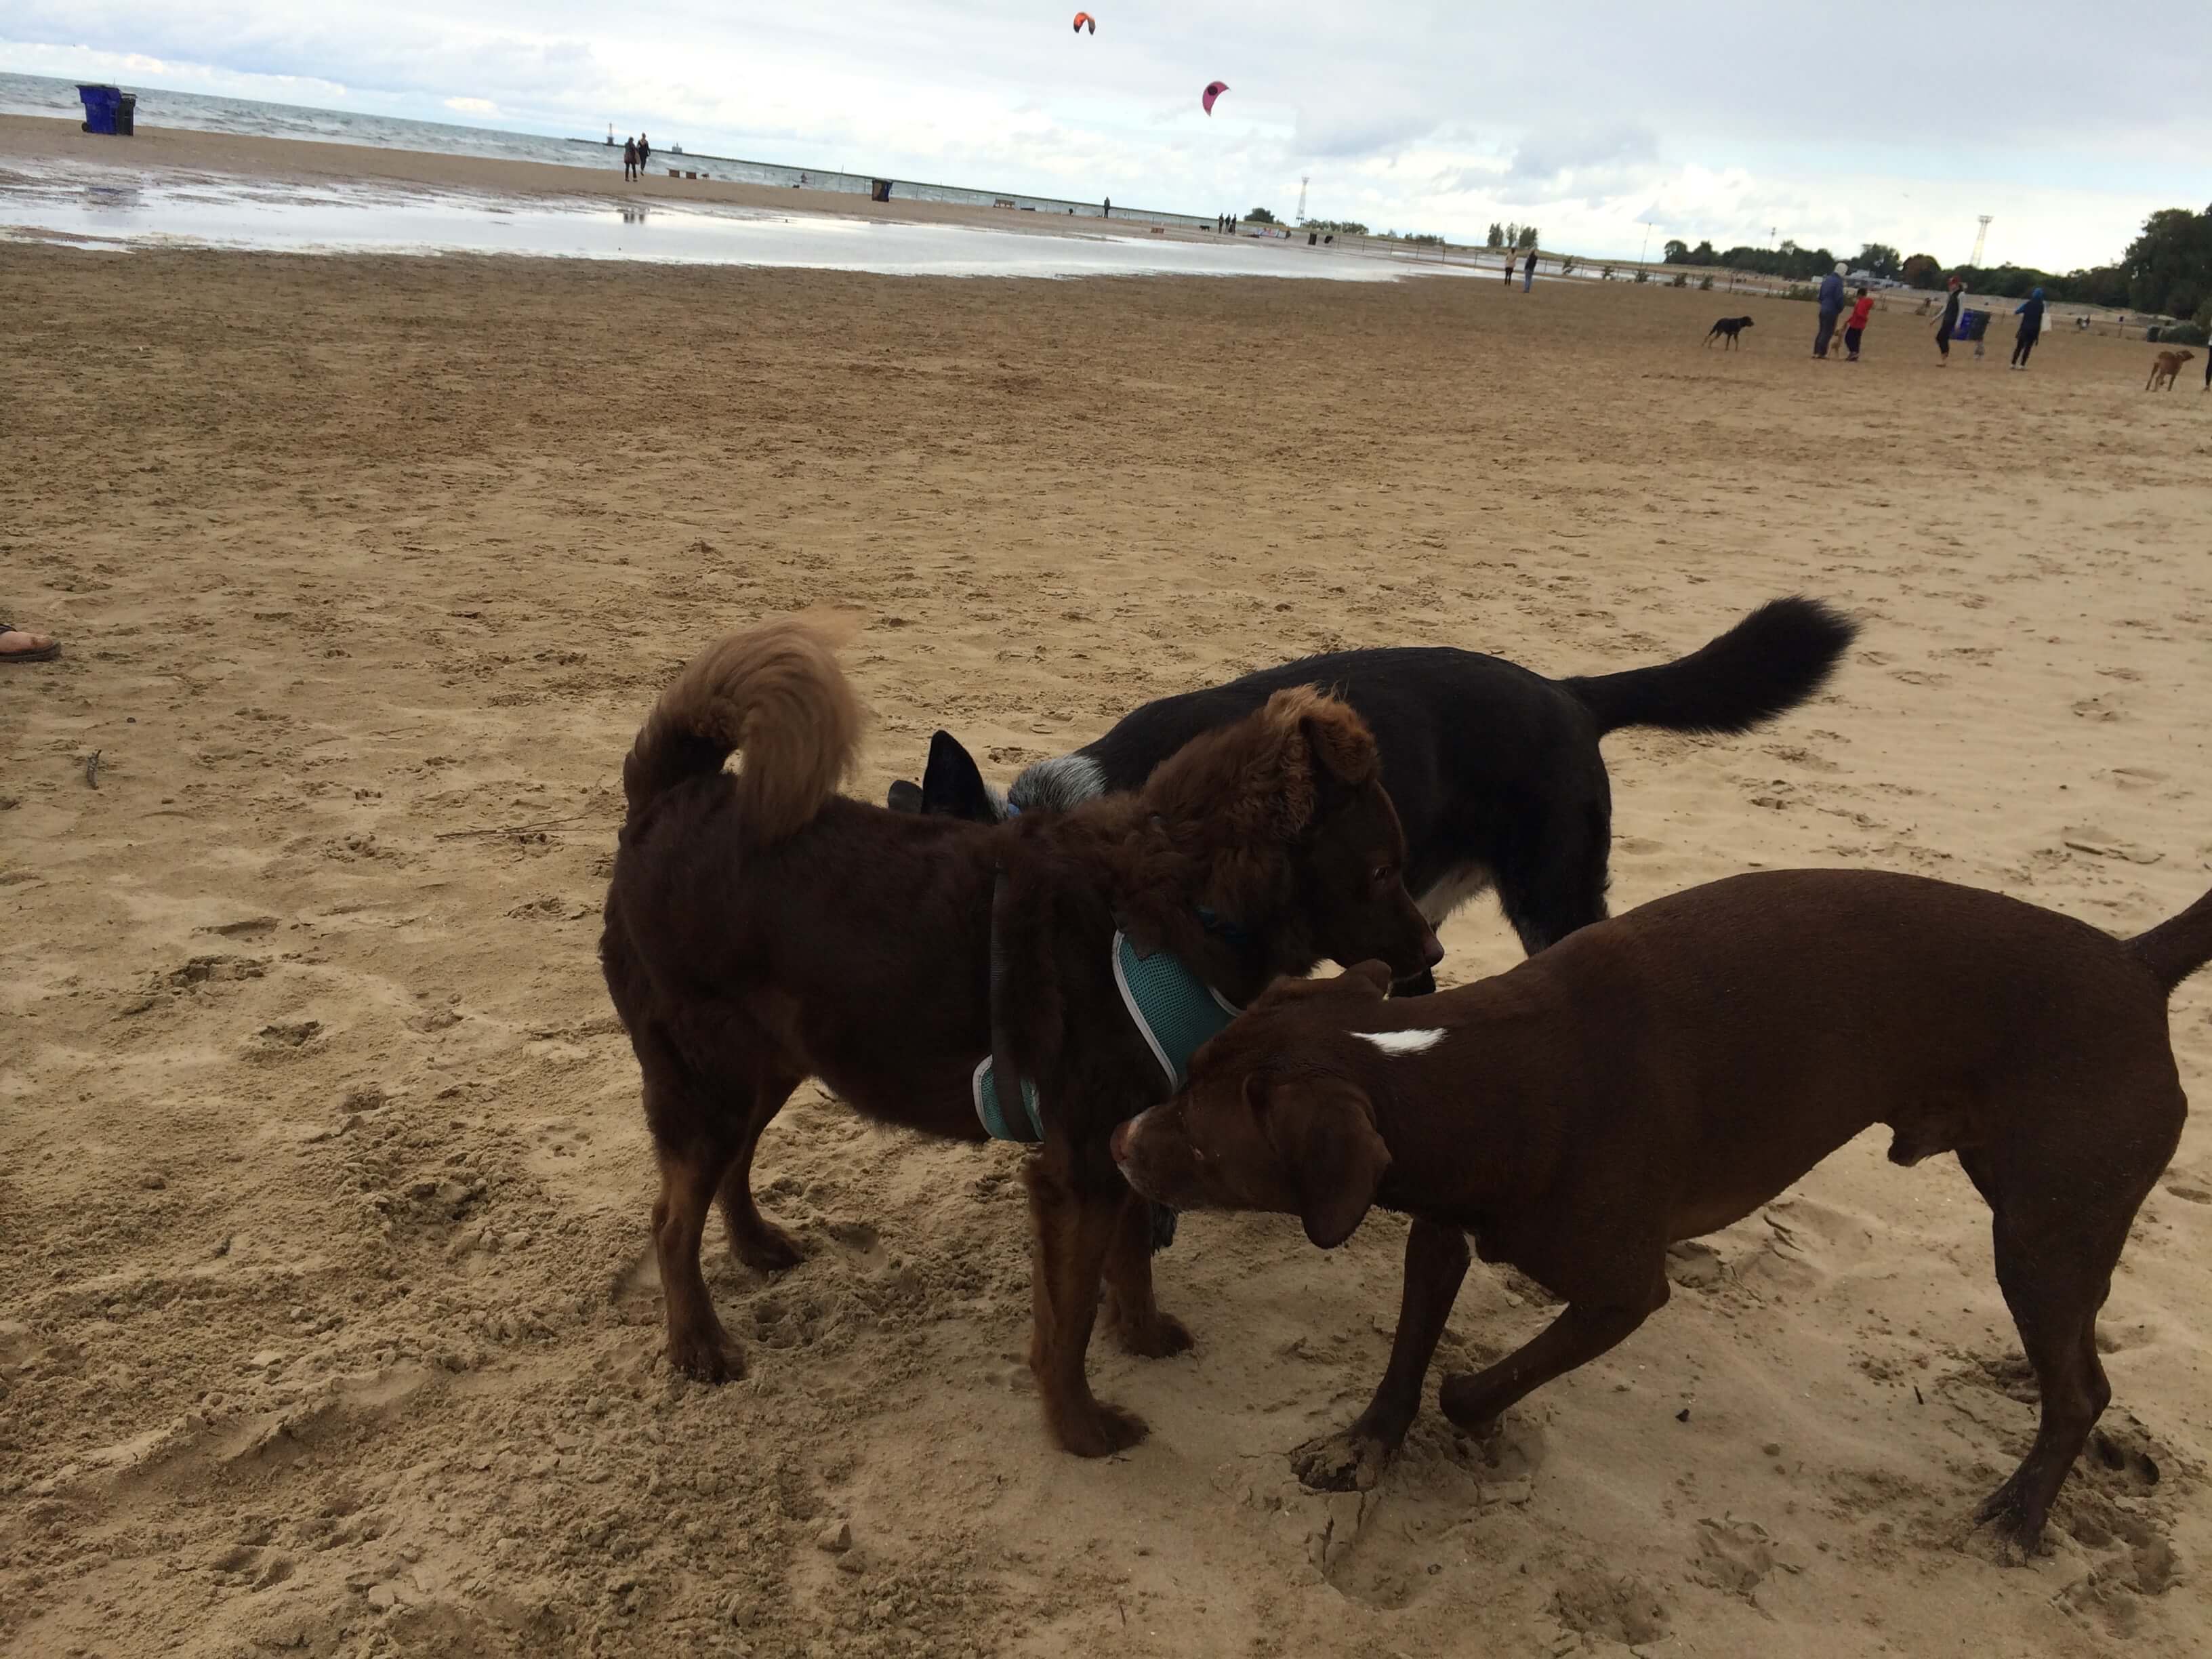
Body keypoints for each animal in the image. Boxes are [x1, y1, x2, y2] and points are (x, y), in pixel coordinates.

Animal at [597, 619, 1442, 1451]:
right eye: (1380, 872)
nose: (1435, 953)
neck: (1175, 901)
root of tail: (670, 795)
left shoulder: (1124, 1140)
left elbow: (1129, 1264)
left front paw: (1141, 1337)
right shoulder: (1079, 1169)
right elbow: (1066, 1324)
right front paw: (1081, 1429)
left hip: (765, 1063)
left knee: (731, 1165)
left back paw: (755, 1248)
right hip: (708, 1078)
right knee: (671, 1221)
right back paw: (698, 1345)